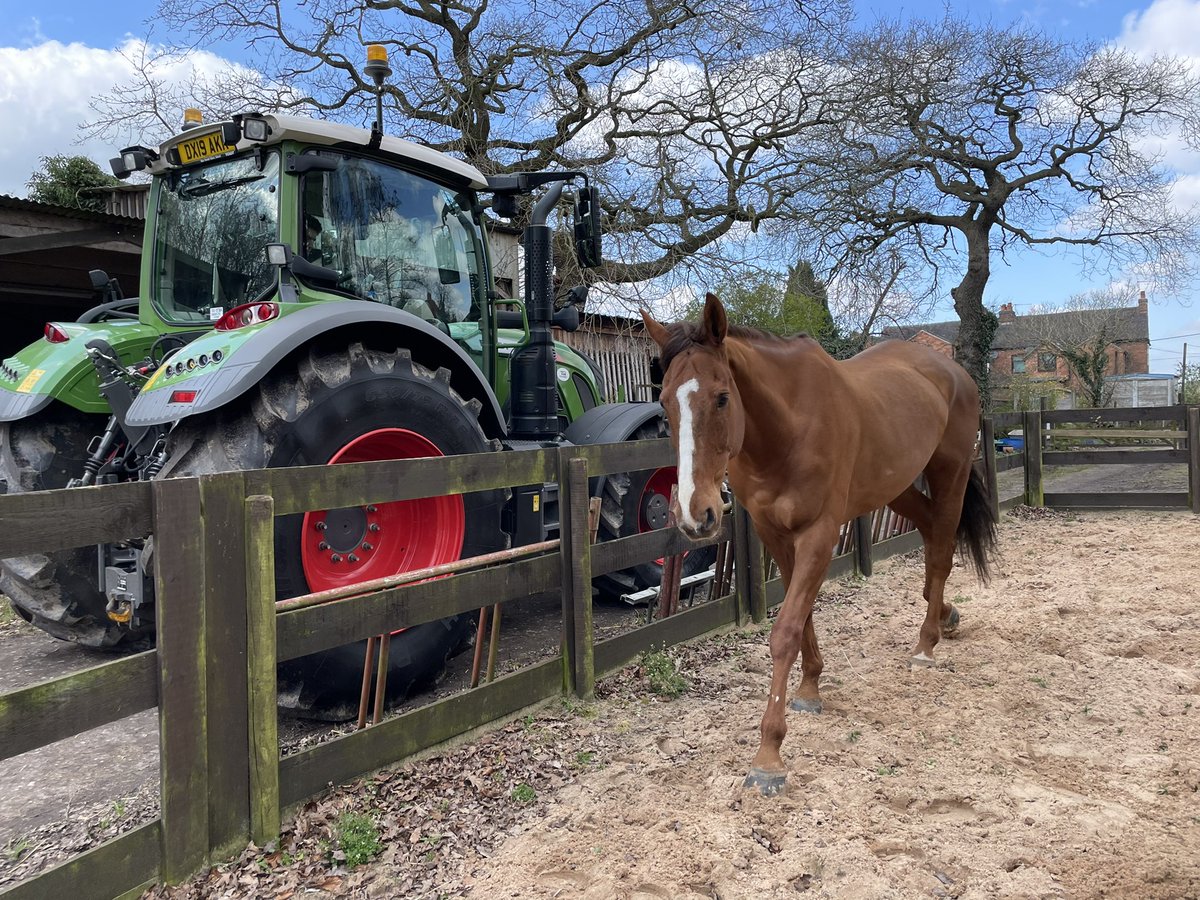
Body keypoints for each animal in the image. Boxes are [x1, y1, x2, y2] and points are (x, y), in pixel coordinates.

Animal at [641, 292, 997, 795]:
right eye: (665, 403)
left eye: (722, 397)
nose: (696, 515)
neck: (786, 429)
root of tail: (952, 371)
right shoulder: (774, 533)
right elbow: (801, 613)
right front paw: (809, 688)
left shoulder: (820, 533)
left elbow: (785, 630)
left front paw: (768, 754)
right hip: (894, 484)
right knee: (930, 536)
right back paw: (945, 613)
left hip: (951, 474)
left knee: (943, 551)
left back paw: (926, 644)